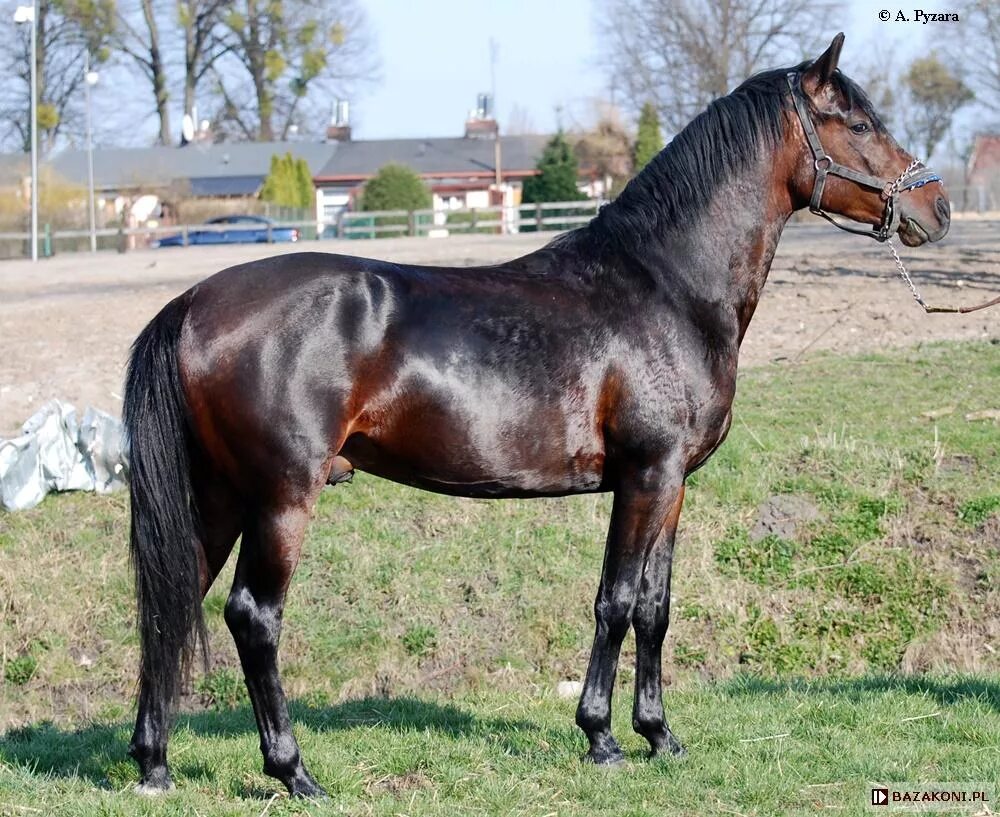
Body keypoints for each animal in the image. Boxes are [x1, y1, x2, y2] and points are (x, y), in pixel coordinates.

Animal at [127, 33, 952, 796]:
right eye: (859, 122)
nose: (936, 206)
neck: (666, 284)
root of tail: (191, 304)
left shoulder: (674, 484)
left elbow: (655, 607)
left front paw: (660, 735)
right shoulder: (648, 475)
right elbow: (615, 601)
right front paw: (602, 736)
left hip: (219, 497)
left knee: (170, 603)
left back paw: (154, 763)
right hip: (280, 498)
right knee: (252, 616)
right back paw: (294, 771)